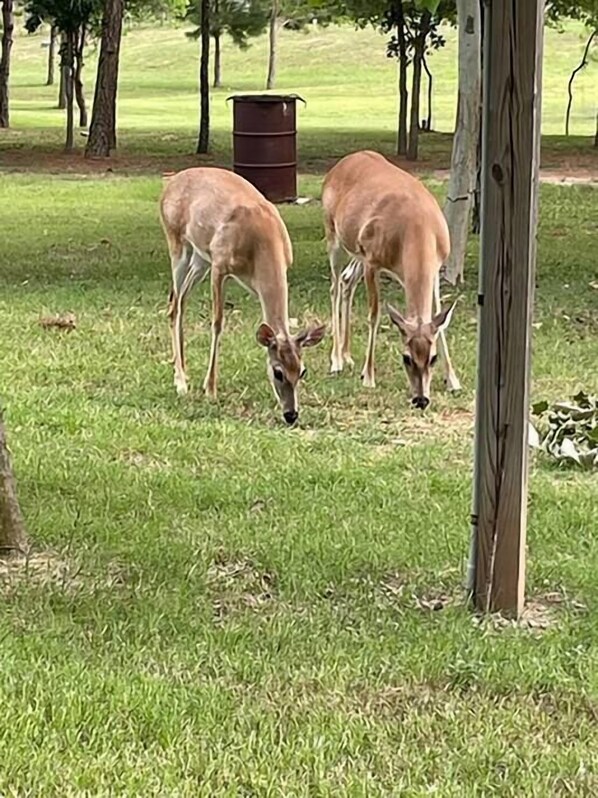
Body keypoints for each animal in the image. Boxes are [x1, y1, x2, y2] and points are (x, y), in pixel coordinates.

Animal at [159, 167, 325, 425]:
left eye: (302, 371)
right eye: (278, 372)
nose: (291, 415)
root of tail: (171, 181)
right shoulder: (220, 265)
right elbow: (217, 323)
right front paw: (210, 389)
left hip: (200, 258)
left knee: (178, 301)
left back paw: (182, 372)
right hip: (177, 242)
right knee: (175, 305)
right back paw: (181, 382)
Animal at [322, 150, 461, 410]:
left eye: (433, 357)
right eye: (406, 357)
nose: (421, 399)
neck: (417, 230)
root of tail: (338, 165)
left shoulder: (436, 267)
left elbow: (441, 320)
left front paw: (453, 380)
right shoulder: (372, 260)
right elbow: (374, 316)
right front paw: (368, 376)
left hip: (356, 251)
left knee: (346, 280)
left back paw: (347, 356)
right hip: (333, 235)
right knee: (334, 286)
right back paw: (336, 361)